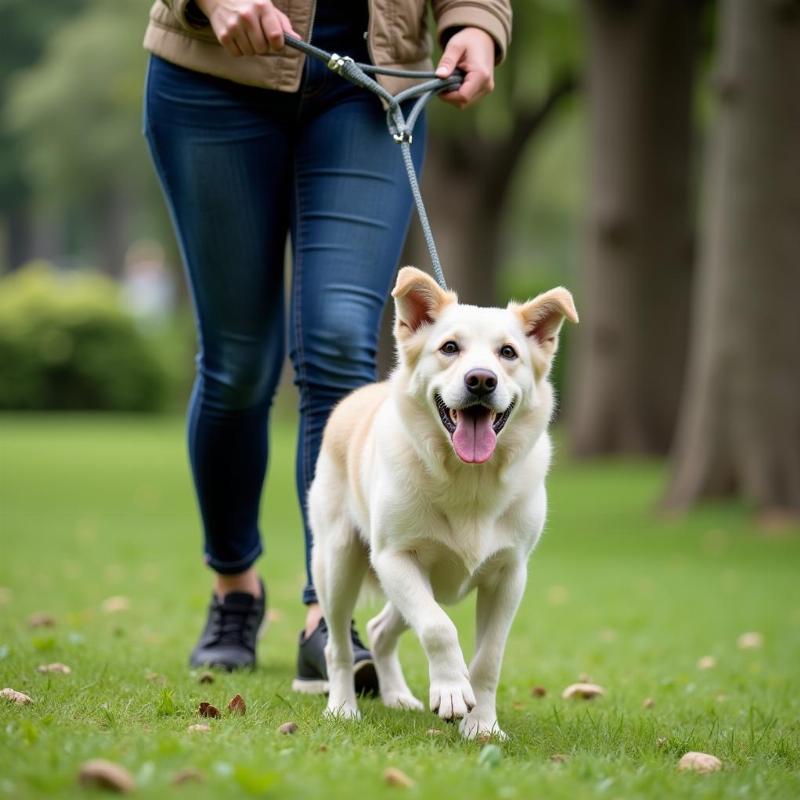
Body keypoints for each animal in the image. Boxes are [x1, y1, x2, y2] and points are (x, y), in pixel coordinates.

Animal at [310, 268, 580, 736]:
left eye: (508, 352)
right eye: (449, 348)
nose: (481, 380)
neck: (468, 479)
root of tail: (356, 398)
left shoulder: (509, 575)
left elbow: (489, 659)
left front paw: (482, 725)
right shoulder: (395, 558)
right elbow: (439, 628)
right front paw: (452, 692)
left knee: (379, 630)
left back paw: (397, 696)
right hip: (339, 564)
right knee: (340, 647)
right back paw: (342, 707)